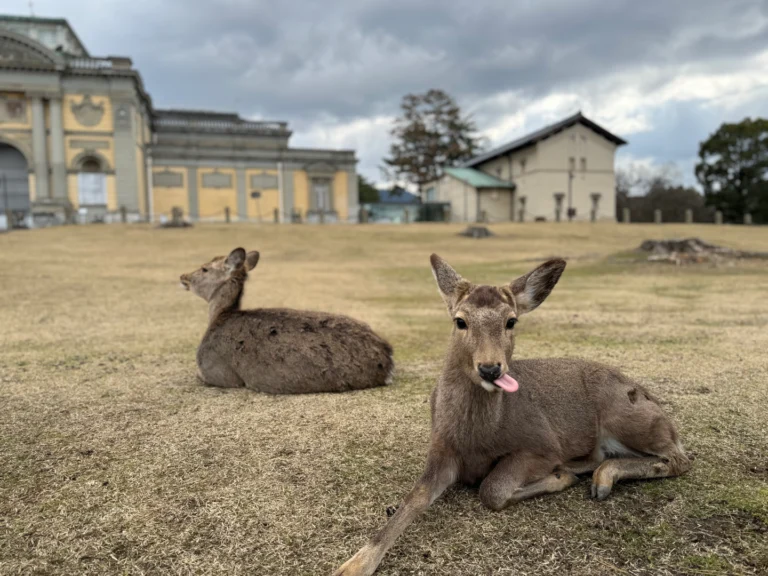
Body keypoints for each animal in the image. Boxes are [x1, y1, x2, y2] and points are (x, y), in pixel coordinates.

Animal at [333, 255, 690, 575]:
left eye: (511, 321)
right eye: (460, 320)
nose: (491, 368)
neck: (476, 440)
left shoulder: (542, 444)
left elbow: (492, 490)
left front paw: (560, 477)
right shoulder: (440, 448)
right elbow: (413, 498)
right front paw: (352, 566)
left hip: (628, 415)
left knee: (678, 458)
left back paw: (600, 478)